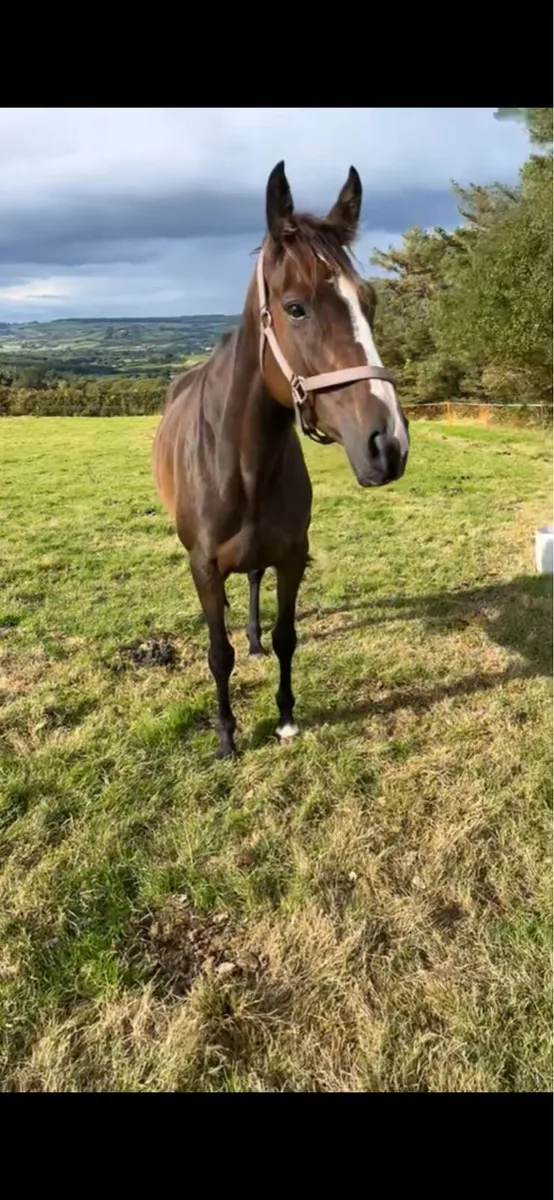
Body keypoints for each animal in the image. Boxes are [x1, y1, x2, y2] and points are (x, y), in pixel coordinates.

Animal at [152, 160, 410, 759]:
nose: (388, 445)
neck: (239, 461)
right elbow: (217, 653)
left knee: (252, 584)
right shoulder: (203, 567)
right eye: (296, 308)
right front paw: (226, 736)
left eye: (369, 303)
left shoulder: (293, 555)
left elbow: (286, 636)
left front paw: (287, 716)